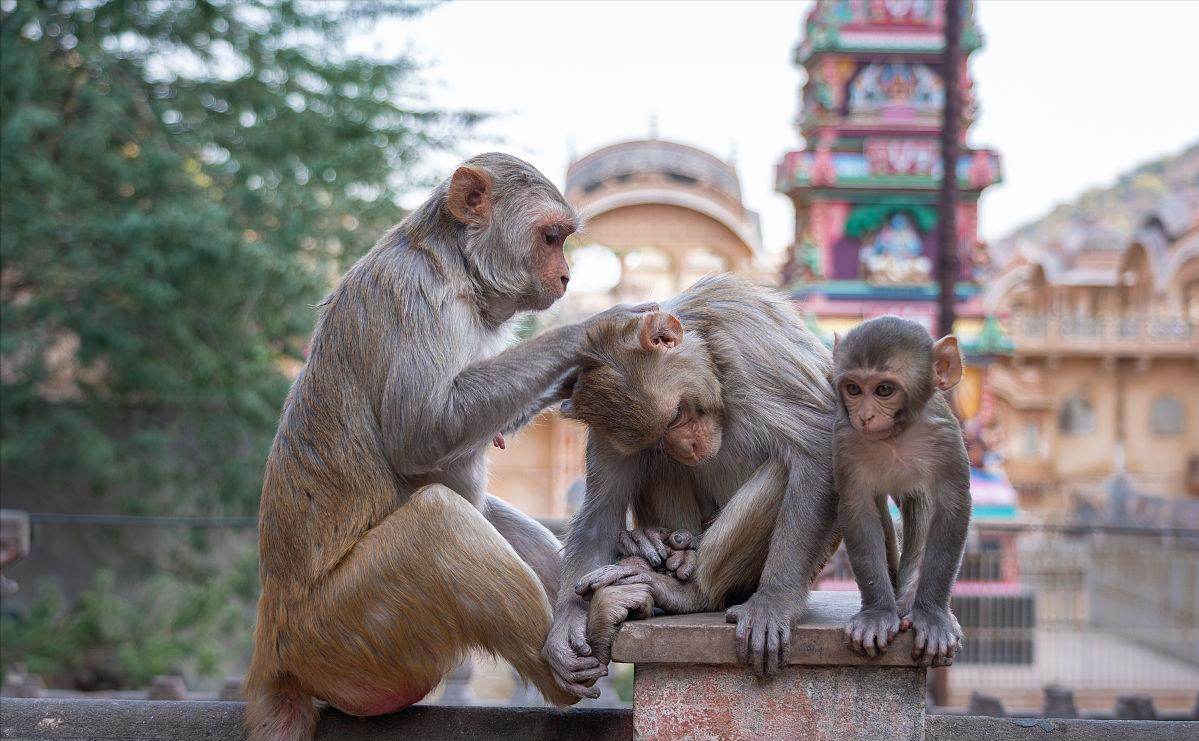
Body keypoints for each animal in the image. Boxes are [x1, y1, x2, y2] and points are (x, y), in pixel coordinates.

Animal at [245, 151, 657, 738]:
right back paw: (572, 656)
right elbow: (421, 432)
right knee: (442, 523)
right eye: (551, 237)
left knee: (487, 517)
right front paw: (594, 332)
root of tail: (271, 642)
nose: (565, 276)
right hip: (340, 635)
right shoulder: (416, 295)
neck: (456, 265)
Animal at [546, 274, 844, 685]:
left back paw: (691, 592)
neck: (711, 356)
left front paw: (774, 601)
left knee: (785, 467)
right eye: (656, 437)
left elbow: (818, 445)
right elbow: (599, 512)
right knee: (658, 469)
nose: (683, 447)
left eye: (675, 416)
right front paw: (566, 628)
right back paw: (658, 550)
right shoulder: (607, 430)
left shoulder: (750, 348)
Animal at [834, 314, 973, 666]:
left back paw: (909, 602)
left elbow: (951, 510)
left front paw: (932, 616)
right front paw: (877, 614)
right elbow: (858, 511)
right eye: (853, 388)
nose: (865, 416)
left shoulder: (945, 438)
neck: (896, 436)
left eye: (884, 389)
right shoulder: (846, 441)